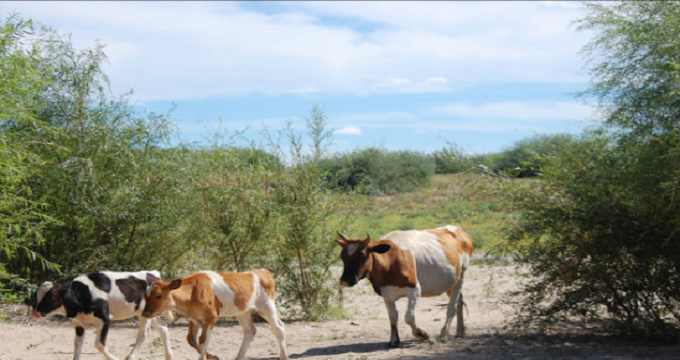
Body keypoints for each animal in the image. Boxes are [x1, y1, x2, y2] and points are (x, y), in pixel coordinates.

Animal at [31, 270, 173, 360]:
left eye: (52, 295)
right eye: (35, 295)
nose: (34, 313)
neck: (83, 293)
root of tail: (155, 275)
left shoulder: (105, 319)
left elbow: (99, 344)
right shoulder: (78, 323)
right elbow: (77, 344)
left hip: (145, 315)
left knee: (143, 336)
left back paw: (129, 357)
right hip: (149, 313)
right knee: (163, 328)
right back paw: (169, 357)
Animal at [143, 268, 286, 360]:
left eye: (158, 295)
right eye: (145, 295)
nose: (145, 313)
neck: (193, 290)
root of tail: (262, 271)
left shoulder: (211, 317)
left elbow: (203, 340)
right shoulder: (194, 318)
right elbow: (191, 339)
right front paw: (212, 356)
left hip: (266, 306)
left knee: (279, 329)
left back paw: (283, 356)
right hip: (243, 312)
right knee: (249, 331)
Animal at [334, 225, 472, 346]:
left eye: (362, 255)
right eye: (342, 255)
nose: (345, 280)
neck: (390, 262)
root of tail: (460, 231)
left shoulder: (415, 291)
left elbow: (409, 317)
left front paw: (423, 334)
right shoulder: (386, 294)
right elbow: (393, 317)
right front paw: (394, 340)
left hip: (461, 277)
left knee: (452, 307)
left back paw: (444, 335)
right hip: (450, 283)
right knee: (460, 300)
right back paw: (460, 331)